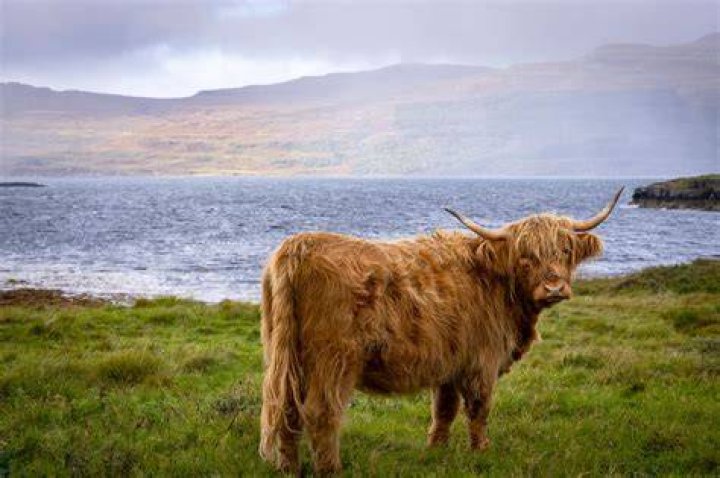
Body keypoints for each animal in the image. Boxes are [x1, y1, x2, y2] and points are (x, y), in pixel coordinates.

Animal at [259, 188, 623, 474]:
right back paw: (331, 469)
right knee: (321, 412)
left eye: (565, 250)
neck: (495, 282)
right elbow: (479, 408)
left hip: (287, 356)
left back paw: (288, 469)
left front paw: (436, 451)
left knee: (286, 409)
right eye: (525, 256)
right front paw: (482, 452)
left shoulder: (450, 362)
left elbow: (444, 410)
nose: (554, 288)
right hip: (335, 358)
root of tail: (299, 246)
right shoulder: (482, 360)